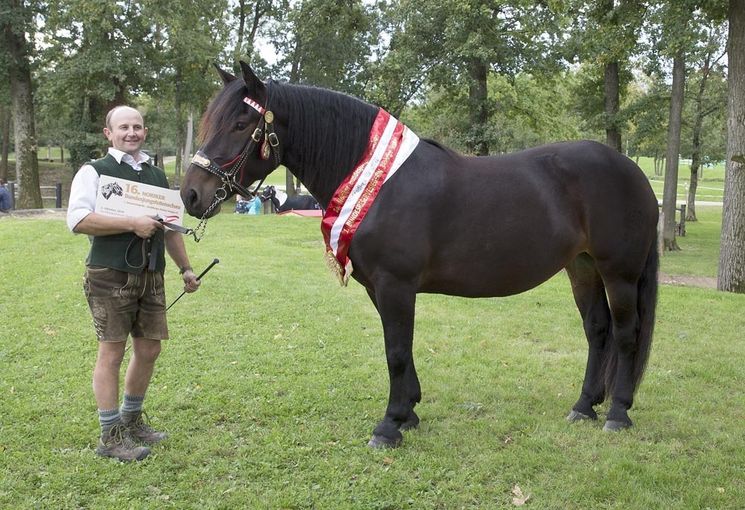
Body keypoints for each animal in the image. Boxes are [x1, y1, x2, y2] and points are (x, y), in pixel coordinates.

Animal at [180, 61, 656, 448]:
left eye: (241, 123)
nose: (191, 194)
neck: (381, 183)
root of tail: (631, 169)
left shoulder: (396, 285)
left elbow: (395, 350)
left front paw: (389, 425)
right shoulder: (378, 288)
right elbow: (400, 350)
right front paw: (409, 412)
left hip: (619, 272)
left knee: (625, 334)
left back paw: (617, 413)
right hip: (581, 267)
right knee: (597, 330)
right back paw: (584, 406)